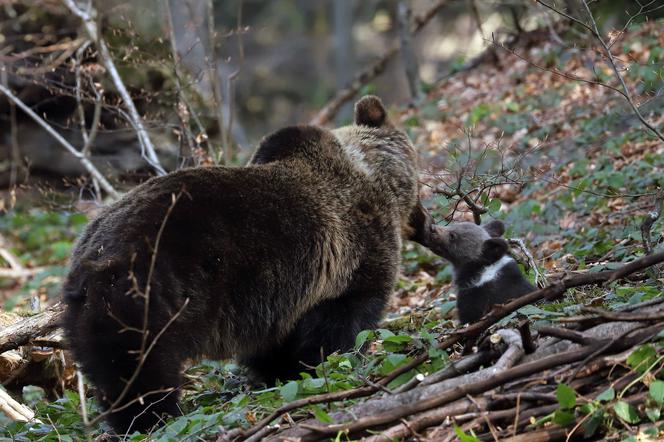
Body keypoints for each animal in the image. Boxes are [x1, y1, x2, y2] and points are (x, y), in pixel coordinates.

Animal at [63, 96, 430, 436]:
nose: (423, 220)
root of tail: (90, 261)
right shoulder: (352, 256)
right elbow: (344, 323)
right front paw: (336, 362)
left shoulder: (279, 300)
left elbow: (275, 345)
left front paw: (282, 373)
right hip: (148, 291)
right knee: (139, 364)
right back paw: (153, 417)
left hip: (86, 316)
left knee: (107, 368)